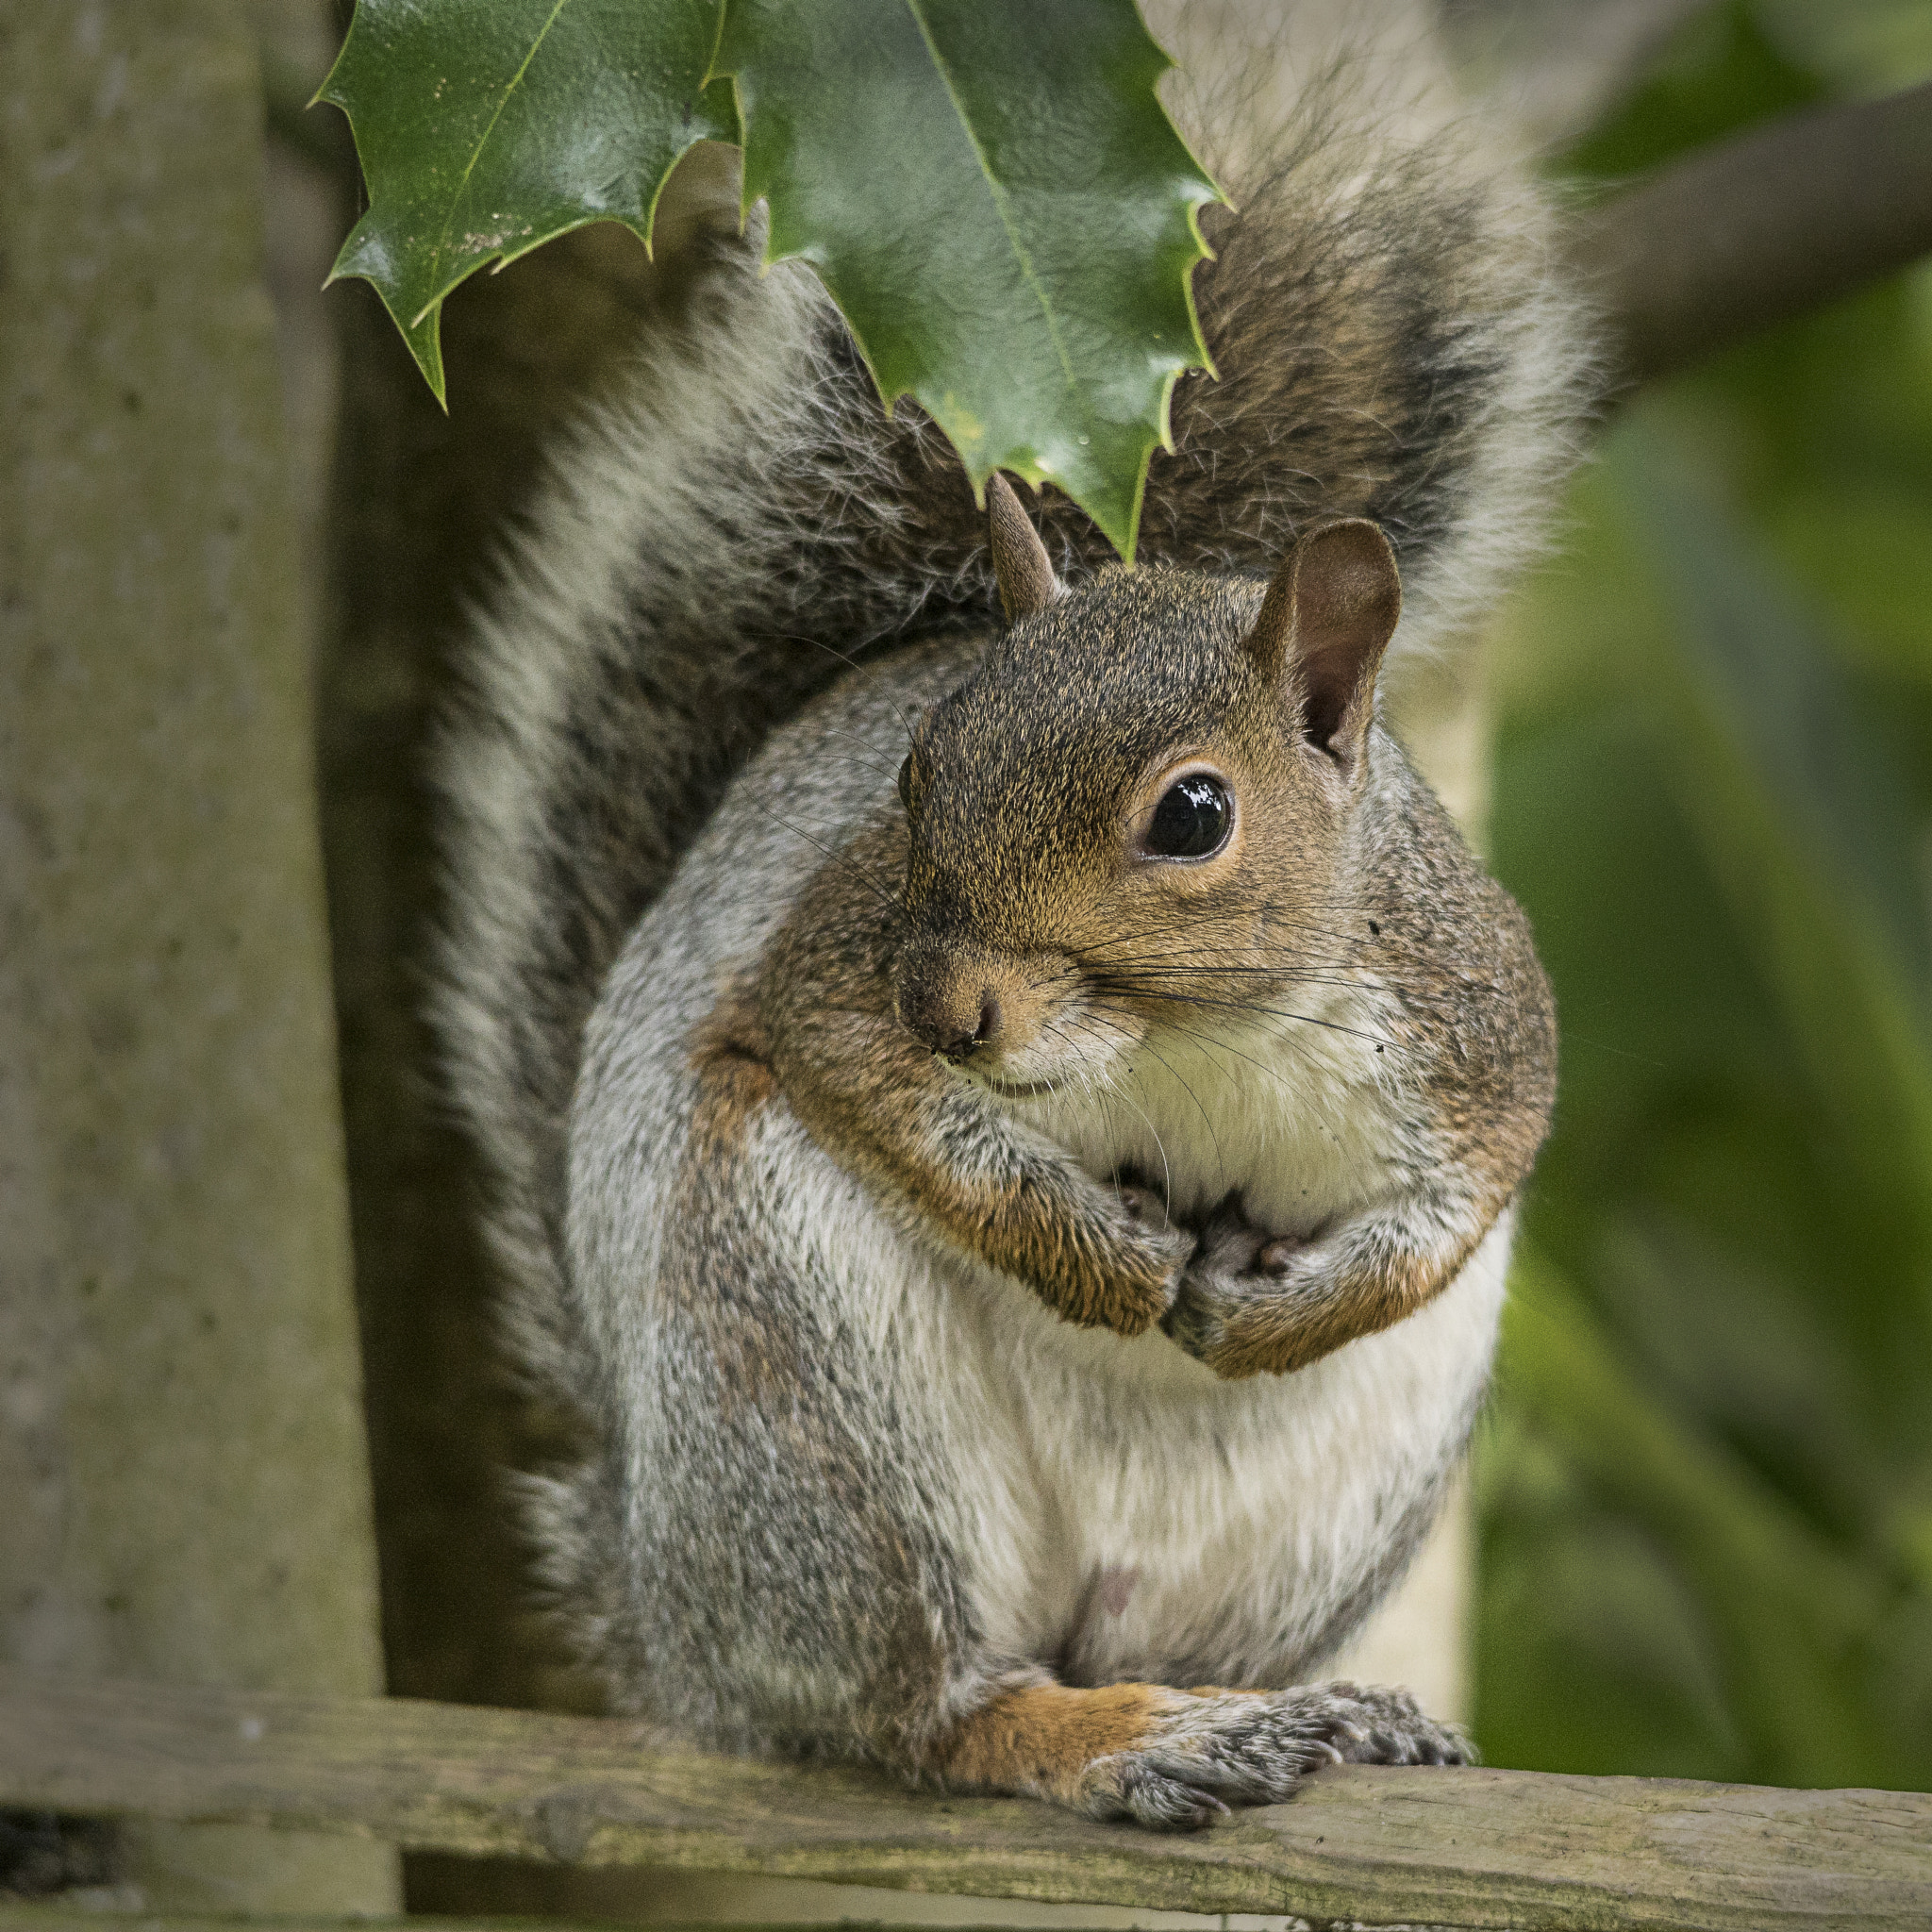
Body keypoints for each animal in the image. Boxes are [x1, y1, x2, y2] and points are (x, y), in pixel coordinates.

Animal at [434, 34, 1584, 1839]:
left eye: (1193, 814)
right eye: (917, 769)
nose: (956, 1008)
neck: (1183, 1039)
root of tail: (677, 1627)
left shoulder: (1472, 1022)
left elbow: (1457, 1203)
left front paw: (1270, 1310)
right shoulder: (840, 953)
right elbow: (853, 1065)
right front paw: (1104, 1255)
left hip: (1332, 1502)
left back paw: (1291, 1710)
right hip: (808, 1398)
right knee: (934, 1709)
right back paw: (1118, 1736)